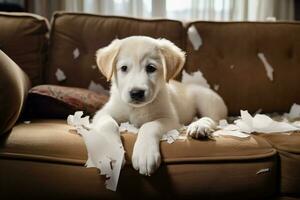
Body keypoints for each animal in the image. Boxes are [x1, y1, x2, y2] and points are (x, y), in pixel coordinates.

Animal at [92, 35, 227, 175]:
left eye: (151, 68)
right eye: (124, 68)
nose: (136, 93)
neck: (138, 109)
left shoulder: (171, 120)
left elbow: (149, 125)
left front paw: (145, 154)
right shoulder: (103, 113)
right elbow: (108, 124)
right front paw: (110, 152)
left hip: (206, 99)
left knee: (213, 119)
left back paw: (199, 126)